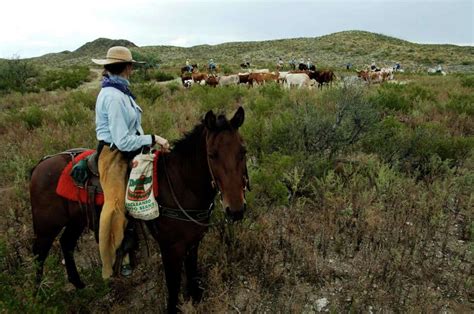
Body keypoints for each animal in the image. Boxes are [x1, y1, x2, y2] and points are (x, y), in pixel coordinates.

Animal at [30, 107, 250, 312]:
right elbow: (173, 285)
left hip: (75, 221)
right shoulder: (170, 248)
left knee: (66, 243)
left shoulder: (193, 241)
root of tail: (41, 164)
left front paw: (195, 299)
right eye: (212, 155)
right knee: (39, 256)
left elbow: (192, 272)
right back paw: (36, 297)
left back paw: (79, 285)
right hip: (46, 227)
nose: (236, 209)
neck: (181, 185)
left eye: (243, 152)